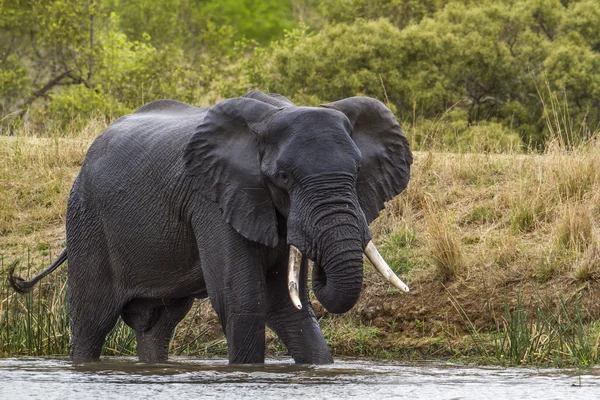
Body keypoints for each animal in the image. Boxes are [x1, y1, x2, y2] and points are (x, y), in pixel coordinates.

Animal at [9, 91, 412, 366]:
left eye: (357, 172)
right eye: (283, 177)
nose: (320, 268)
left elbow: (288, 306)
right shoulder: (212, 201)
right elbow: (244, 300)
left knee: (159, 324)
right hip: (86, 219)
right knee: (91, 320)